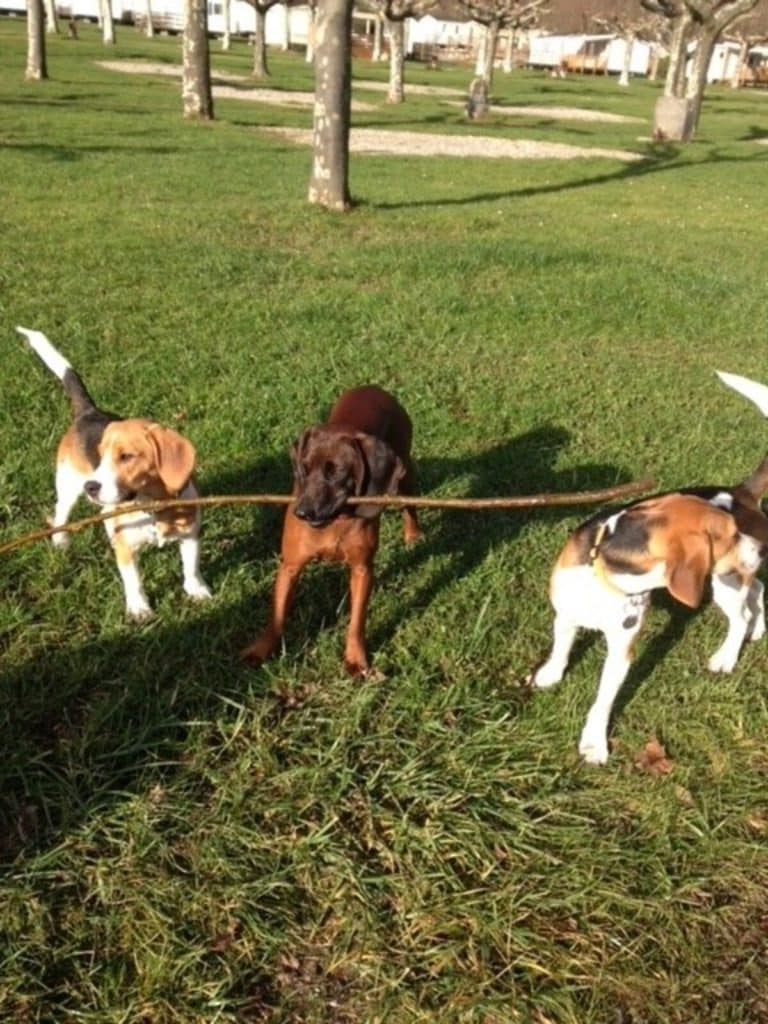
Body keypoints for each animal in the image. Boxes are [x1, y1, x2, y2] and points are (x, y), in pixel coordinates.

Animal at [18, 327, 210, 614]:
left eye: (127, 457)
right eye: (101, 456)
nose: (91, 487)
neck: (150, 505)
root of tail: (88, 412)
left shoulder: (190, 534)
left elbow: (191, 567)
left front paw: (196, 590)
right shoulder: (126, 550)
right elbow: (133, 580)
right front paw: (139, 609)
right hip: (68, 485)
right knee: (61, 513)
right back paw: (61, 541)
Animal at [532, 372, 768, 765]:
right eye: (730, 535)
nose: (760, 548)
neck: (607, 573)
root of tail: (741, 492)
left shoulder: (621, 649)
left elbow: (603, 700)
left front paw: (594, 743)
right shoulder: (566, 613)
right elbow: (561, 648)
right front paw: (550, 674)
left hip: (725, 581)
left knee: (740, 616)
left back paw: (726, 657)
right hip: (734, 576)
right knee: (759, 591)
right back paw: (759, 628)